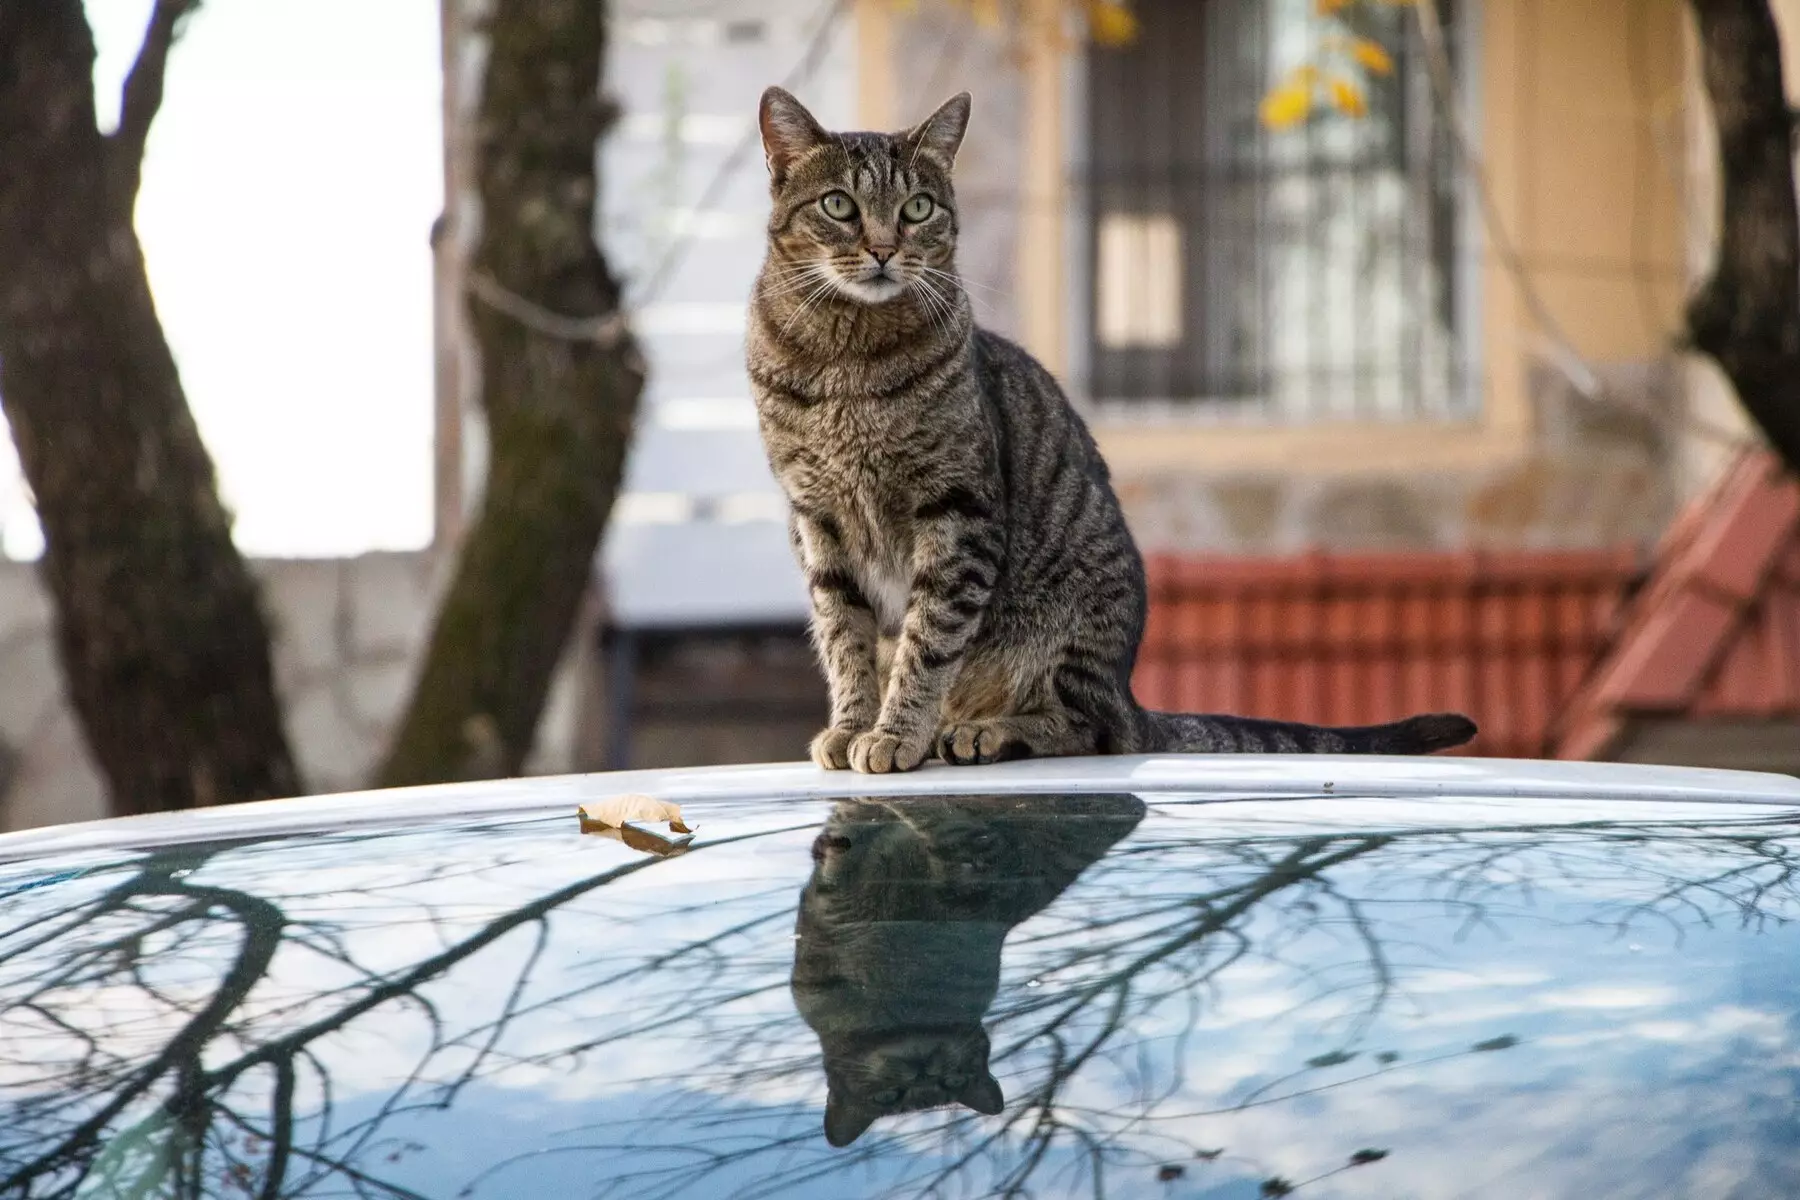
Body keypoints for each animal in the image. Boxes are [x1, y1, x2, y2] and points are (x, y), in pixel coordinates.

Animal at [745, 86, 1476, 780]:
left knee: (1088, 727)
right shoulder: (817, 519)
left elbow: (928, 640)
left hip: (1074, 622)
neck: (847, 361)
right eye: (839, 205)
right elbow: (845, 637)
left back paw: (988, 731)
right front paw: (853, 725)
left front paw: (896, 733)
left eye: (918, 208)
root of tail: (1130, 696)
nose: (883, 249)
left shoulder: (957, 510)